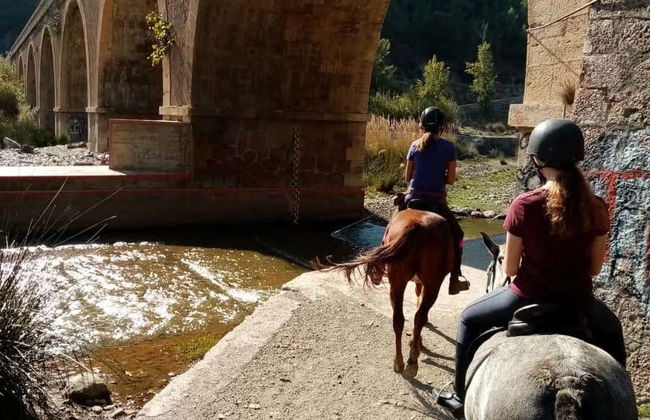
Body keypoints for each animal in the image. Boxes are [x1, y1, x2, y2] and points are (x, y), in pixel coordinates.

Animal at [321, 208, 455, 377]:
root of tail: (415, 226)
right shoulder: (425, 283)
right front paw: (416, 341)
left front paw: (415, 341)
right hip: (431, 284)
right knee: (418, 317)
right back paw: (411, 361)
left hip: (400, 281)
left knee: (400, 320)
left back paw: (401, 362)